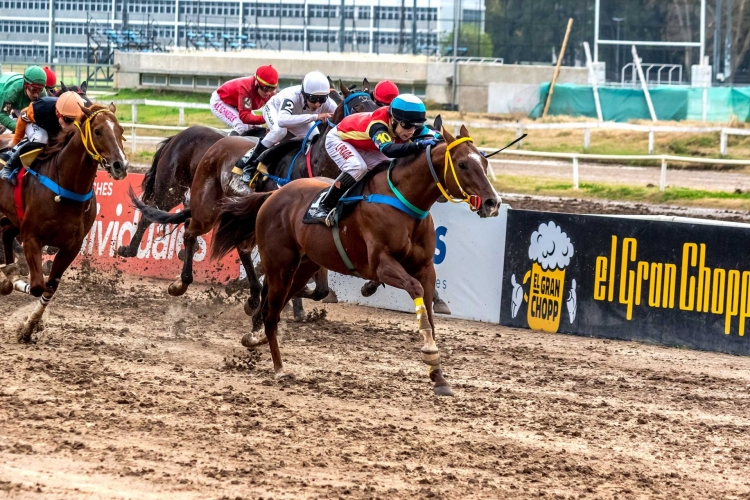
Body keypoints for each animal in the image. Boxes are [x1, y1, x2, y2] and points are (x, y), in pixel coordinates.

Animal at [0, 103, 129, 342]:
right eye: (97, 131)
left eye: (121, 130)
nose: (121, 166)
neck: (66, 186)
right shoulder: (32, 238)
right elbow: (37, 286)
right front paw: (11, 283)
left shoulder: (71, 246)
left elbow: (49, 287)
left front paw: (29, 326)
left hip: (14, 217)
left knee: (5, 231)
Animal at [212, 125, 502, 394]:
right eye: (462, 164)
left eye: (484, 161)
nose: (493, 203)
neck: (404, 201)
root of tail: (272, 195)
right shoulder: (382, 266)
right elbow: (415, 289)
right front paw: (429, 352)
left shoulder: (426, 268)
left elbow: (429, 312)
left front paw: (439, 378)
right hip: (281, 266)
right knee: (271, 312)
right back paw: (279, 368)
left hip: (304, 266)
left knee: (273, 305)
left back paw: (255, 337)